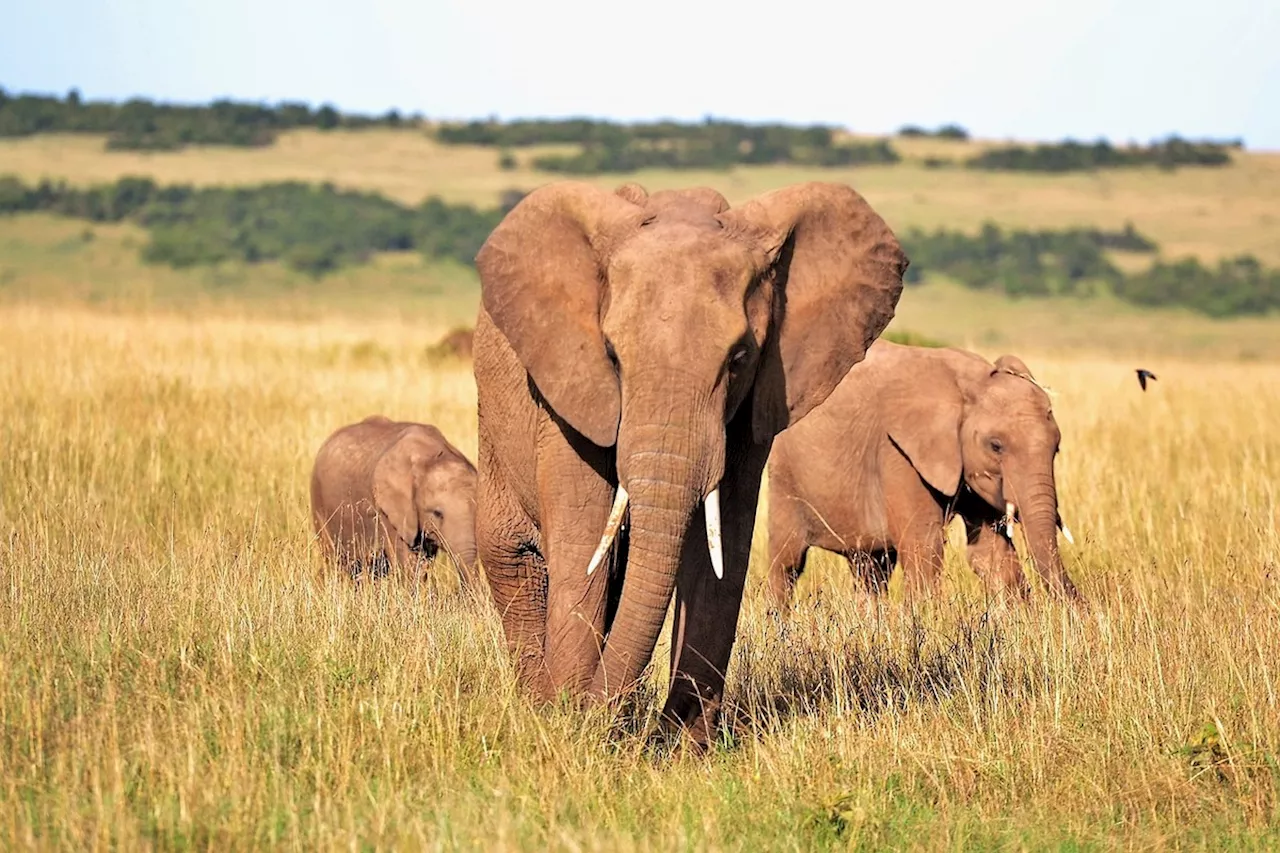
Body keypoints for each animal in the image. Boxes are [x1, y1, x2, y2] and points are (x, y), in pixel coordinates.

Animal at [473, 179, 911, 742]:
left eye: (739, 357)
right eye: (612, 355)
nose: (593, 713)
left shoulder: (754, 406)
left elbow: (721, 548)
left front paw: (681, 744)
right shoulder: (569, 391)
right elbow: (584, 538)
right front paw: (568, 722)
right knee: (515, 559)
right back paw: (537, 702)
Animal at [768, 340, 1080, 612]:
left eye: (1057, 448)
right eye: (995, 445)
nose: (1079, 609)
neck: (970, 383)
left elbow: (990, 552)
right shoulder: (897, 451)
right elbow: (924, 547)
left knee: (872, 568)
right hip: (784, 473)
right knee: (787, 562)